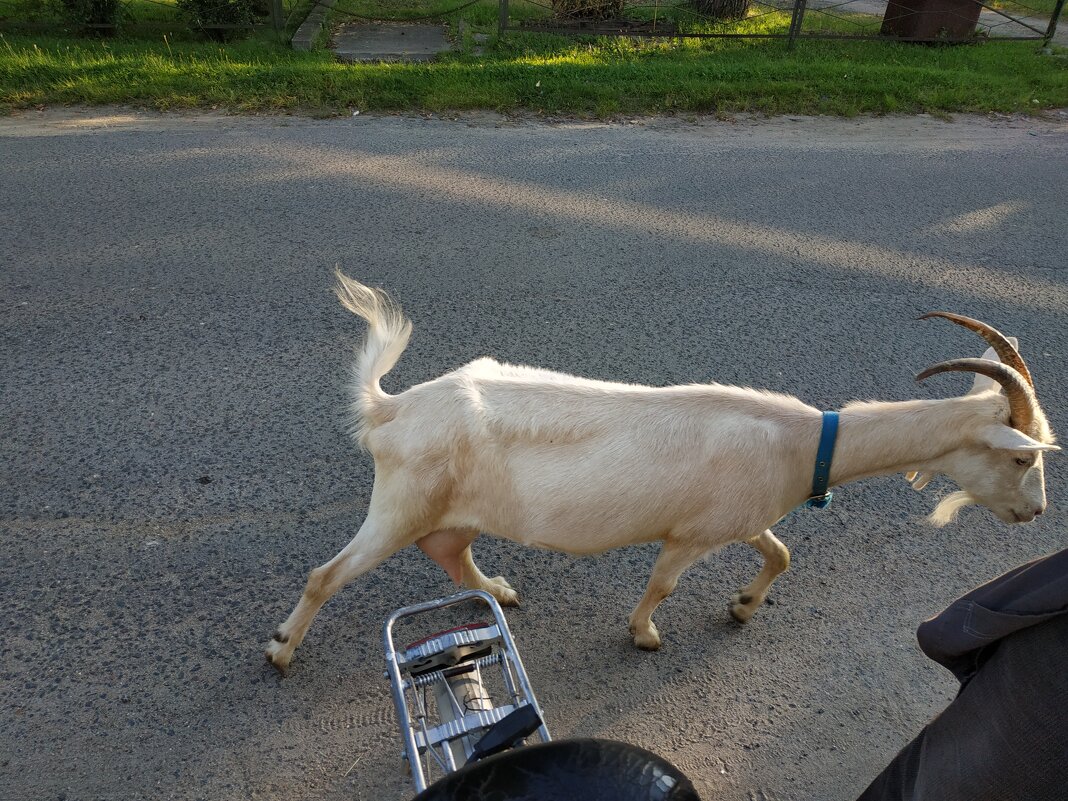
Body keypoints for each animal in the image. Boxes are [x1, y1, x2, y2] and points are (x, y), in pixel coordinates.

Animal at [264, 273, 1050, 674]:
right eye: (1022, 455)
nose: (1036, 513)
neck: (802, 442)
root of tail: (393, 408)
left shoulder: (739, 517)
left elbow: (780, 553)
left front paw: (741, 606)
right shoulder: (691, 533)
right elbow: (664, 582)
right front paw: (645, 634)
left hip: (446, 509)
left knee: (453, 555)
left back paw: (501, 591)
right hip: (403, 500)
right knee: (328, 574)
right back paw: (281, 648)